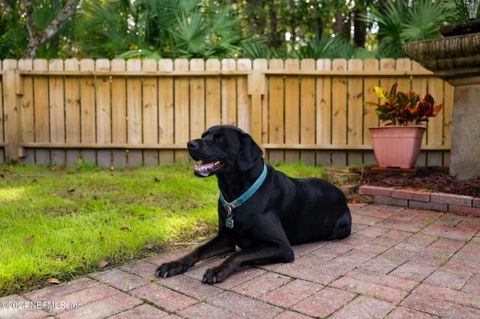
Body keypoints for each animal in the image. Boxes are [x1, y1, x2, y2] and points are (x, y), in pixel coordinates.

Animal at [156, 125, 350, 284]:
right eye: (204, 135)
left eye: (221, 139)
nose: (190, 144)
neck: (235, 193)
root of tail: (341, 192)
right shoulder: (225, 238)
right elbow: (198, 249)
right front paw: (172, 265)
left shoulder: (281, 246)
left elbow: (239, 253)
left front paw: (217, 270)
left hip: (341, 229)